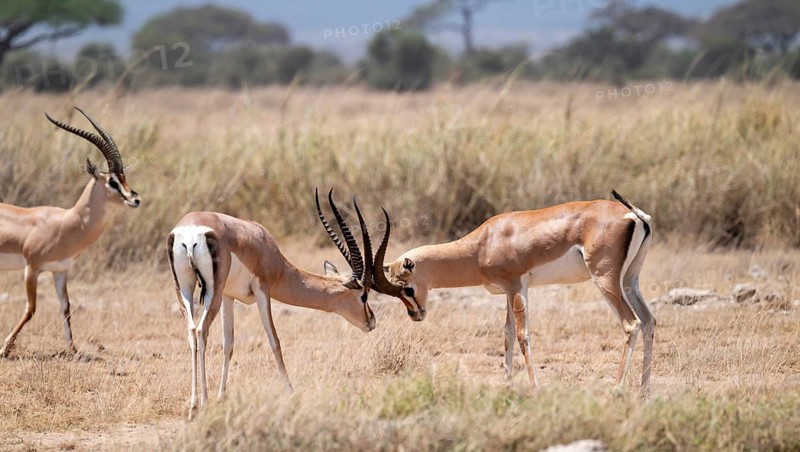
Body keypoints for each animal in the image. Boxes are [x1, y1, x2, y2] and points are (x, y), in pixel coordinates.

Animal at [0, 108, 141, 358]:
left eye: (124, 178)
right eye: (112, 181)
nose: (135, 199)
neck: (65, 222)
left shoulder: (60, 271)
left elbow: (66, 307)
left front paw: (73, 349)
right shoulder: (32, 268)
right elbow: (31, 309)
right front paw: (5, 348)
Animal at [167, 189, 381, 419]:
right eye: (364, 295)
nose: (371, 321)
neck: (266, 247)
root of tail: (191, 230)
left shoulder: (227, 296)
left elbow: (228, 344)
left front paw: (222, 397)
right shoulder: (263, 289)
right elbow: (274, 341)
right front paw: (291, 392)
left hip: (186, 290)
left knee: (192, 332)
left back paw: (193, 407)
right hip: (211, 293)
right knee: (201, 330)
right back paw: (202, 404)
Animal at [373, 191, 655, 397]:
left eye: (406, 288)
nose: (415, 315)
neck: (481, 245)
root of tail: (634, 215)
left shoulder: (517, 286)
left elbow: (521, 335)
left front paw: (534, 388)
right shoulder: (507, 292)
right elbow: (507, 333)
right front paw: (507, 386)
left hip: (604, 279)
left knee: (632, 323)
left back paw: (616, 390)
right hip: (629, 280)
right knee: (649, 320)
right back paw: (643, 392)